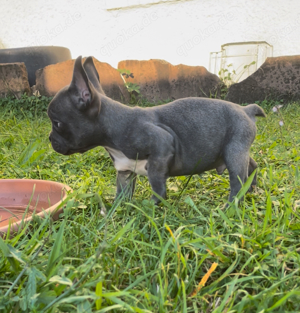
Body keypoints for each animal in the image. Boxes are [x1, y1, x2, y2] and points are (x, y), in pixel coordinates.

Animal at [48, 55, 266, 204]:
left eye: (57, 123)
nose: (50, 138)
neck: (113, 129)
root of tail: (246, 109)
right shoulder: (124, 172)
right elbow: (122, 194)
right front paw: (116, 212)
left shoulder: (161, 144)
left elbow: (156, 181)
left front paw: (153, 205)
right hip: (238, 151)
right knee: (252, 166)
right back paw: (252, 189)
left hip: (233, 153)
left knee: (237, 181)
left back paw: (230, 205)